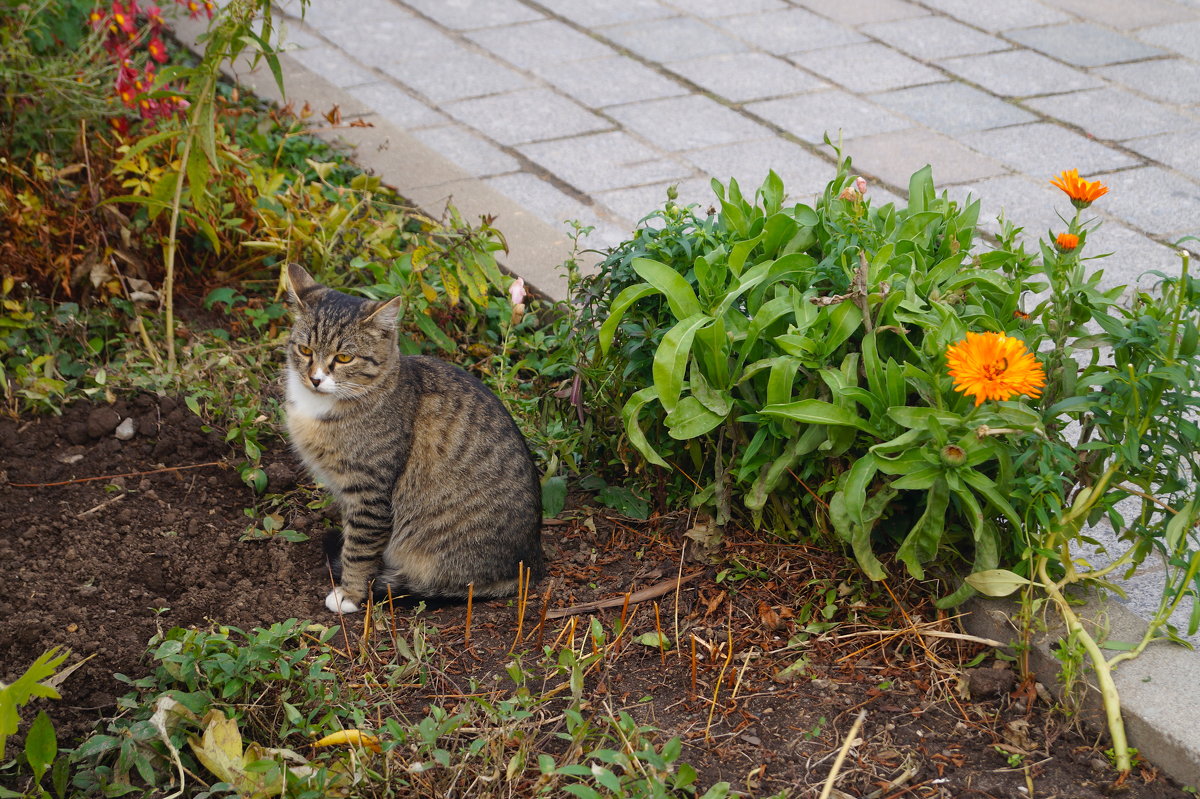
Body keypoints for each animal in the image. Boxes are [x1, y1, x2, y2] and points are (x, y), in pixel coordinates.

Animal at [280, 262, 544, 609]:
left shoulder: (370, 492)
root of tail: (528, 567)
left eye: (345, 358)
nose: (315, 379)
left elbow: (359, 548)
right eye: (305, 350)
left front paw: (350, 594)